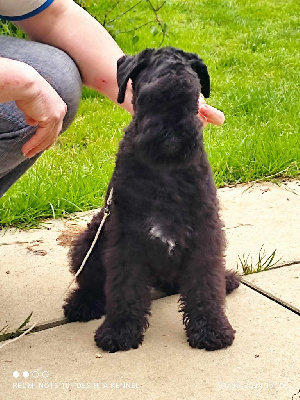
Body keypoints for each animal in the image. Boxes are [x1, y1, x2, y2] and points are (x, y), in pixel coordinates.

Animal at [62, 47, 239, 354]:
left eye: (192, 96)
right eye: (148, 95)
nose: (173, 133)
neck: (165, 169)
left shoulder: (204, 232)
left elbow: (205, 282)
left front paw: (212, 328)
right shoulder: (127, 236)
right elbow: (125, 286)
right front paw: (119, 330)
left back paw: (225, 279)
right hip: (90, 239)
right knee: (91, 283)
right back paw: (82, 304)